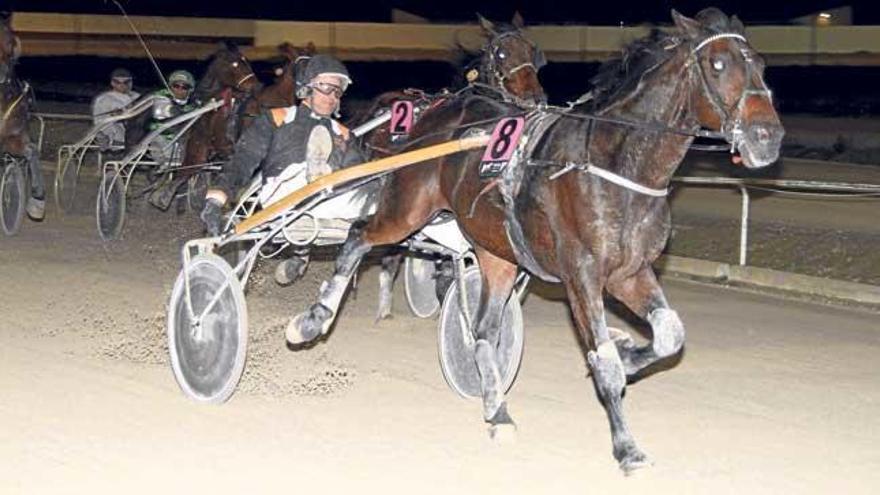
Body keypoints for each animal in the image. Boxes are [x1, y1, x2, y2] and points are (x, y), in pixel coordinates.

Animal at [147, 42, 258, 211]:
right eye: (235, 64)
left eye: (247, 61)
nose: (254, 85)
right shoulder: (200, 148)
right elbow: (186, 171)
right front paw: (162, 195)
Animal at [288, 6, 784, 472]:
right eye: (717, 64)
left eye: (760, 63)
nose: (768, 136)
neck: (615, 163)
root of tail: (434, 117)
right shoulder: (582, 275)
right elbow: (603, 362)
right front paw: (627, 447)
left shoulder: (630, 273)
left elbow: (669, 335)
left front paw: (629, 352)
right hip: (408, 208)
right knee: (359, 237)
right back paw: (312, 319)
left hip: (497, 251)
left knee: (484, 331)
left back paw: (497, 410)